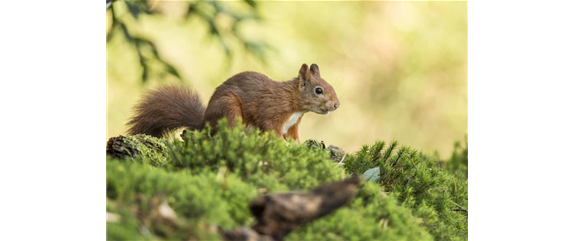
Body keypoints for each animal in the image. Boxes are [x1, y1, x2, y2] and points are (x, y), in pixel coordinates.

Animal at [128, 63, 340, 142]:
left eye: (330, 85)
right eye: (319, 90)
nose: (336, 104)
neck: (292, 101)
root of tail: (204, 122)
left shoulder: (292, 125)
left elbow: (294, 136)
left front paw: (296, 145)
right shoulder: (271, 112)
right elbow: (272, 129)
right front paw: (283, 145)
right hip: (229, 108)